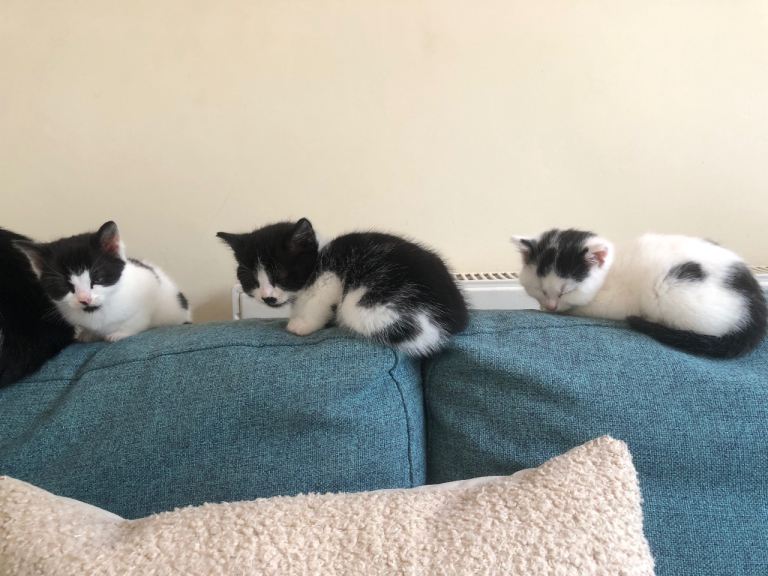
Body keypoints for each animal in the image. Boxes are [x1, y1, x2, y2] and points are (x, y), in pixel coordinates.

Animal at [15, 221, 191, 342]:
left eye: (97, 278)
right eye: (64, 285)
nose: (84, 299)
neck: (96, 312)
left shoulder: (149, 285)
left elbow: (137, 319)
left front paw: (120, 333)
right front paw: (87, 334)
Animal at [217, 218, 469, 356]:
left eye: (281, 275)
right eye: (252, 279)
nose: (267, 297)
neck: (320, 256)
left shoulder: (332, 275)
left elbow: (318, 300)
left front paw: (302, 324)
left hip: (369, 305)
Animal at [512, 229, 767, 358]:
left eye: (565, 291)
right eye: (539, 288)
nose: (551, 306)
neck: (610, 271)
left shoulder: (611, 303)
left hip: (674, 289)